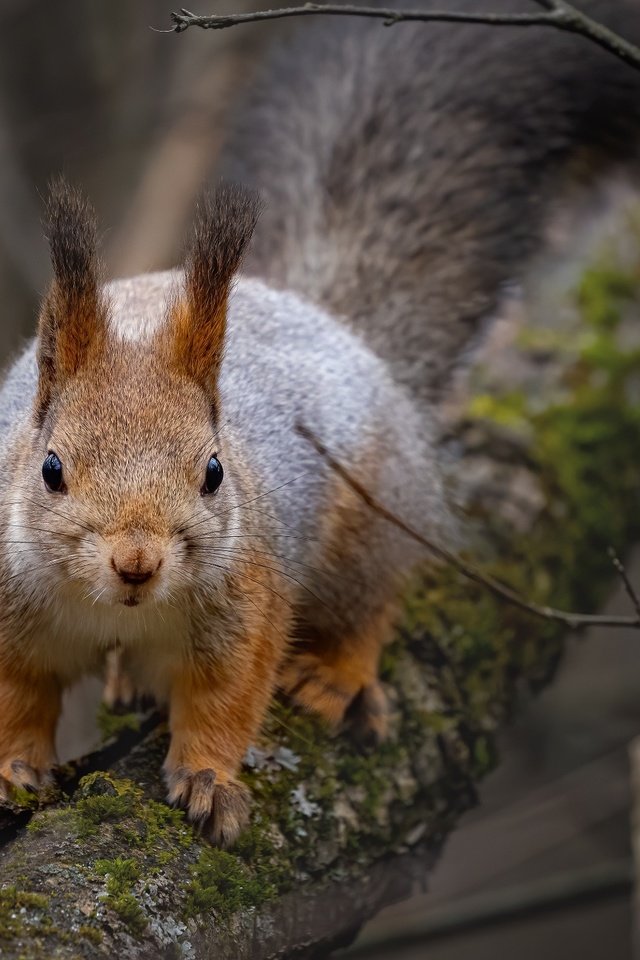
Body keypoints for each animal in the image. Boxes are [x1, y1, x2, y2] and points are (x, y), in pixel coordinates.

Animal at [1, 0, 640, 848]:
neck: (114, 610)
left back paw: (335, 675)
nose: (137, 563)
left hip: (370, 524)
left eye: (214, 472)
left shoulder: (250, 597)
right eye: (50, 469)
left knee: (371, 604)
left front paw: (207, 780)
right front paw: (13, 769)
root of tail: (324, 317)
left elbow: (227, 697)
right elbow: (17, 697)